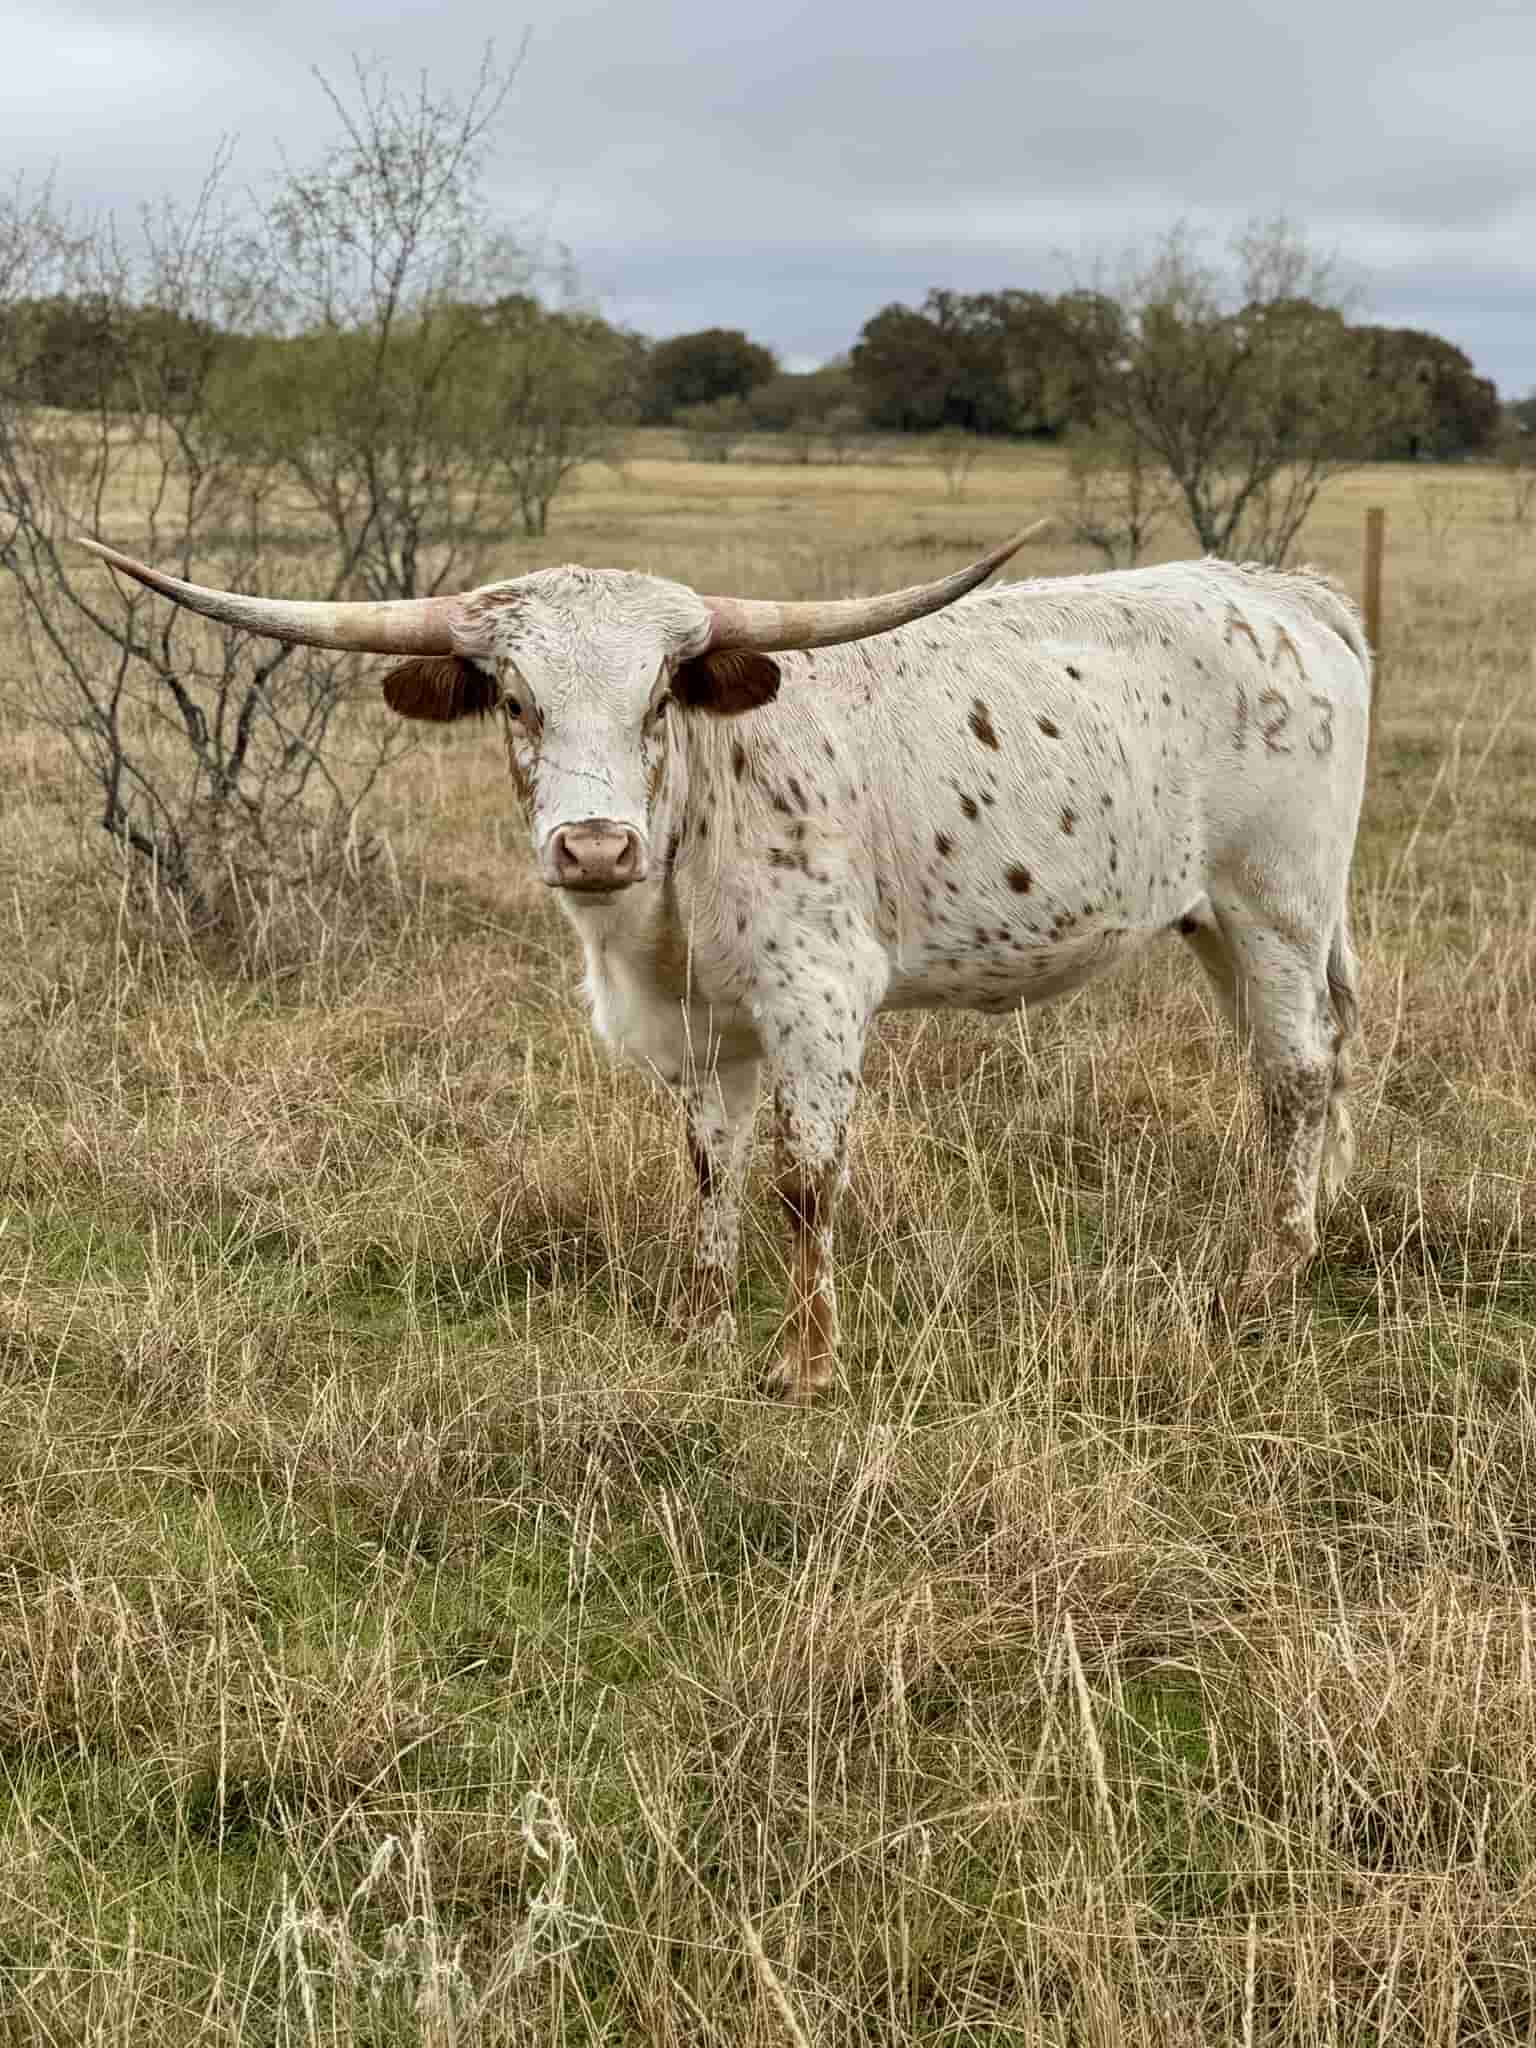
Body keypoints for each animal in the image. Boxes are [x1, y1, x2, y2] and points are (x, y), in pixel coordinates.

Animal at [81, 528, 1368, 1400]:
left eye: (660, 694)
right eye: (514, 699)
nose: (595, 845)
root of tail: (1281, 590)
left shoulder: (820, 1001)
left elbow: (807, 1178)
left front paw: (807, 1361)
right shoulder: (698, 1030)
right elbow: (713, 1172)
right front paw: (698, 1329)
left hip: (1279, 902)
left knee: (1295, 1074)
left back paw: (1271, 1273)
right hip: (1217, 923)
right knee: (1310, 1061)